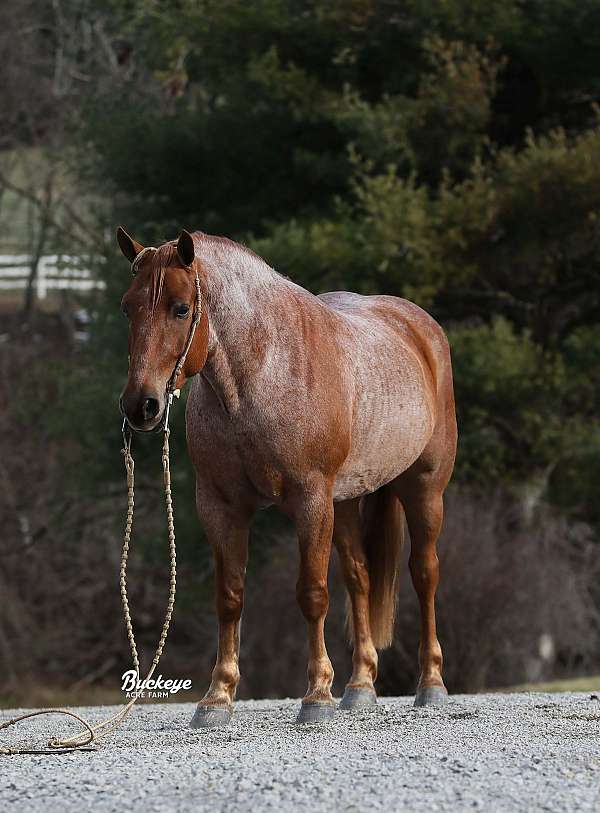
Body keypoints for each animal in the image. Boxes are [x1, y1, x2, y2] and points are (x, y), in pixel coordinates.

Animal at [117, 224, 458, 724]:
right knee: (359, 577)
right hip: (346, 503)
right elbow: (230, 597)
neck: (262, 374)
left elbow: (312, 593)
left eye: (180, 308)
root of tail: (420, 328)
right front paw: (217, 697)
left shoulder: (310, 501)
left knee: (424, 572)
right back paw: (359, 686)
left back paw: (430, 683)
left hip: (423, 489)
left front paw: (316, 696)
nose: (140, 405)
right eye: (128, 306)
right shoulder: (220, 507)